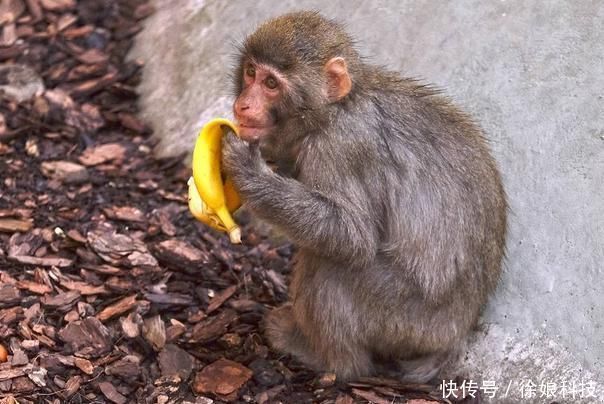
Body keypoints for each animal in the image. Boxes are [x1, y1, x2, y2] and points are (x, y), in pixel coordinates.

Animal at [221, 9, 504, 382]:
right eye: (251, 72)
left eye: (271, 84)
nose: (243, 105)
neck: (335, 109)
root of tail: (458, 332)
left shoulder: (342, 146)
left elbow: (352, 235)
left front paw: (247, 171)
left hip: (407, 320)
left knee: (331, 270)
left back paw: (330, 360)